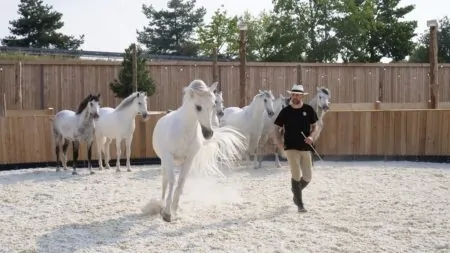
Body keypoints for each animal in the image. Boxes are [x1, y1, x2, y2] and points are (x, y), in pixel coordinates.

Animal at [148, 79, 246, 221]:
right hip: (164, 162)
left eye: (213, 104)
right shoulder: (168, 157)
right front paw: (166, 213)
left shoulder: (189, 160)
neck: (184, 130)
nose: (208, 134)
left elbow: (181, 182)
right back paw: (160, 204)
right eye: (198, 107)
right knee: (165, 181)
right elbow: (172, 181)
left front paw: (175, 210)